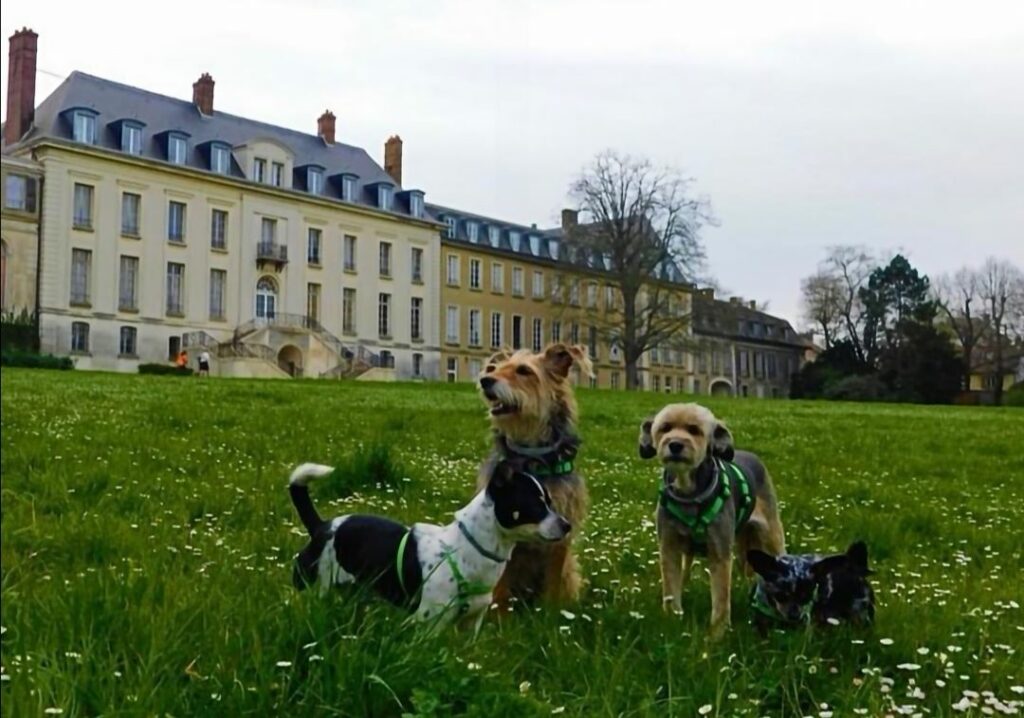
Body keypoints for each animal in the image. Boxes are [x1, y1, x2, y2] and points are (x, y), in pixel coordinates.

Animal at [292, 458, 573, 626]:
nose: (567, 525)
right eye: (535, 505)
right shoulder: (427, 624)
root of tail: (321, 526)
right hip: (315, 586)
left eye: (550, 502)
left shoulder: (472, 622)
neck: (469, 551)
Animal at [473, 342, 593, 606]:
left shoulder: (562, 528)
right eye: (493, 368)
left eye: (524, 371)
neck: (531, 457)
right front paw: (498, 613)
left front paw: (551, 612)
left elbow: (554, 581)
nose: (485, 380)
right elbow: (501, 586)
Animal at [638, 403, 782, 639]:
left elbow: (721, 598)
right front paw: (672, 620)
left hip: (771, 533)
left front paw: (717, 633)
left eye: (694, 430)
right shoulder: (669, 546)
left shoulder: (720, 551)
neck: (688, 491)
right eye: (665, 428)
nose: (675, 444)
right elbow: (671, 587)